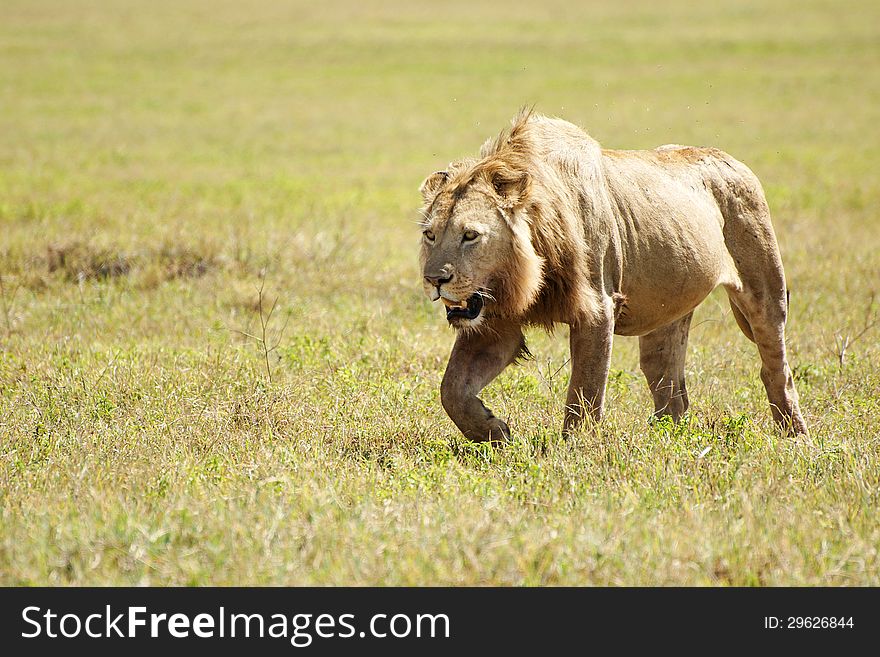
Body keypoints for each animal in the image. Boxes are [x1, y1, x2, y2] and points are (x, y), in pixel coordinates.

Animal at [416, 110, 808, 444]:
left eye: (470, 235)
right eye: (430, 235)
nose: (434, 279)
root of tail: (732, 160)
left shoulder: (597, 309)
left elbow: (585, 391)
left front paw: (576, 448)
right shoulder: (496, 322)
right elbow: (452, 390)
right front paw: (494, 432)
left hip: (764, 290)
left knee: (776, 368)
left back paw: (795, 436)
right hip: (667, 310)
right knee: (670, 384)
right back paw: (665, 440)